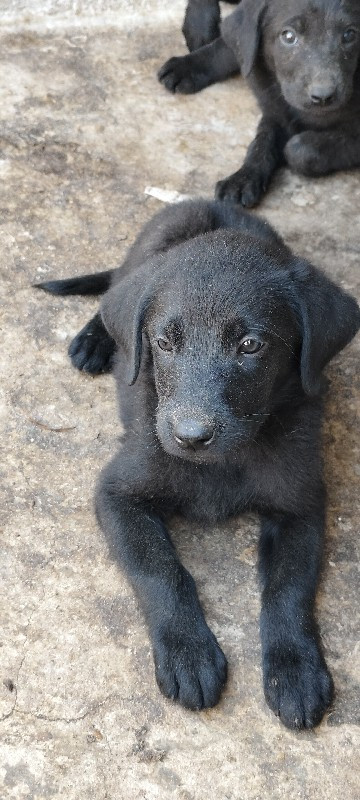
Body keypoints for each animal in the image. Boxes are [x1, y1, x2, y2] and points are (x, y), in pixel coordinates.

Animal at [37, 202, 360, 732]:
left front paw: (295, 670)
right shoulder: (117, 491)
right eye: (165, 343)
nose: (190, 436)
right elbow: (161, 569)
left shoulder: (302, 504)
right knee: (109, 299)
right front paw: (189, 654)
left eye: (251, 345)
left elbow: (289, 588)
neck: (226, 460)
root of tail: (211, 203)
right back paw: (93, 340)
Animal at [158, 0, 360, 206]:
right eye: (288, 36)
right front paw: (242, 179)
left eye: (349, 34)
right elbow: (261, 142)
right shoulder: (273, 109)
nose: (323, 97)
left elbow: (299, 149)